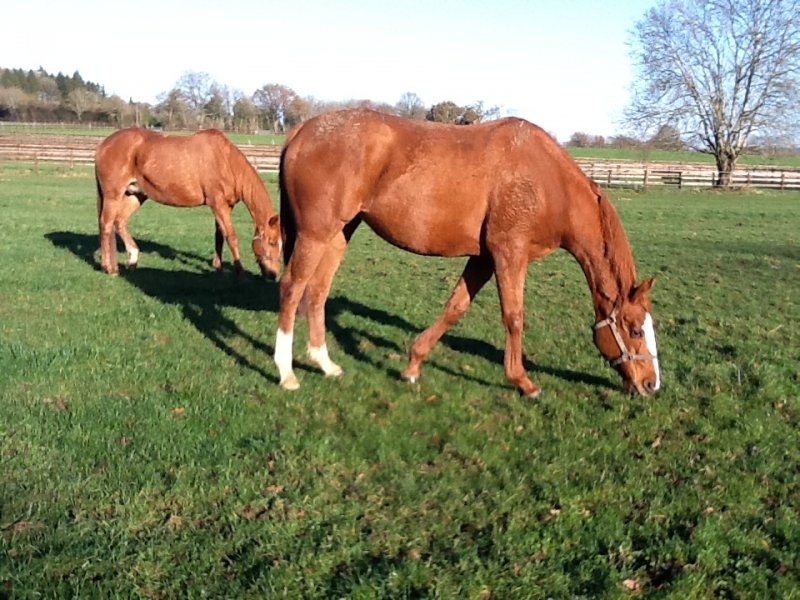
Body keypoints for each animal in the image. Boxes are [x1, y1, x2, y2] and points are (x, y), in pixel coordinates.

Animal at [95, 128, 281, 278]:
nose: (273, 275)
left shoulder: (225, 206)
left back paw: (132, 260)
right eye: (271, 242)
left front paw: (218, 268)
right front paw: (240, 273)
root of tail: (103, 145)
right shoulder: (217, 203)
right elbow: (231, 236)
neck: (225, 161)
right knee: (106, 224)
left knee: (119, 222)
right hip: (113, 196)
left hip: (136, 195)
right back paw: (109, 268)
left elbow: (219, 236)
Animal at [274, 109, 660, 397]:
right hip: (315, 234)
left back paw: (325, 364)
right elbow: (514, 317)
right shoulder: (509, 254)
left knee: (317, 291)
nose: (650, 384)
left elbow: (455, 307)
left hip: (339, 233)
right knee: (292, 288)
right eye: (635, 330)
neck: (548, 183)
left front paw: (413, 365)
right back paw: (286, 373)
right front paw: (523, 382)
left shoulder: (484, 258)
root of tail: (303, 130)